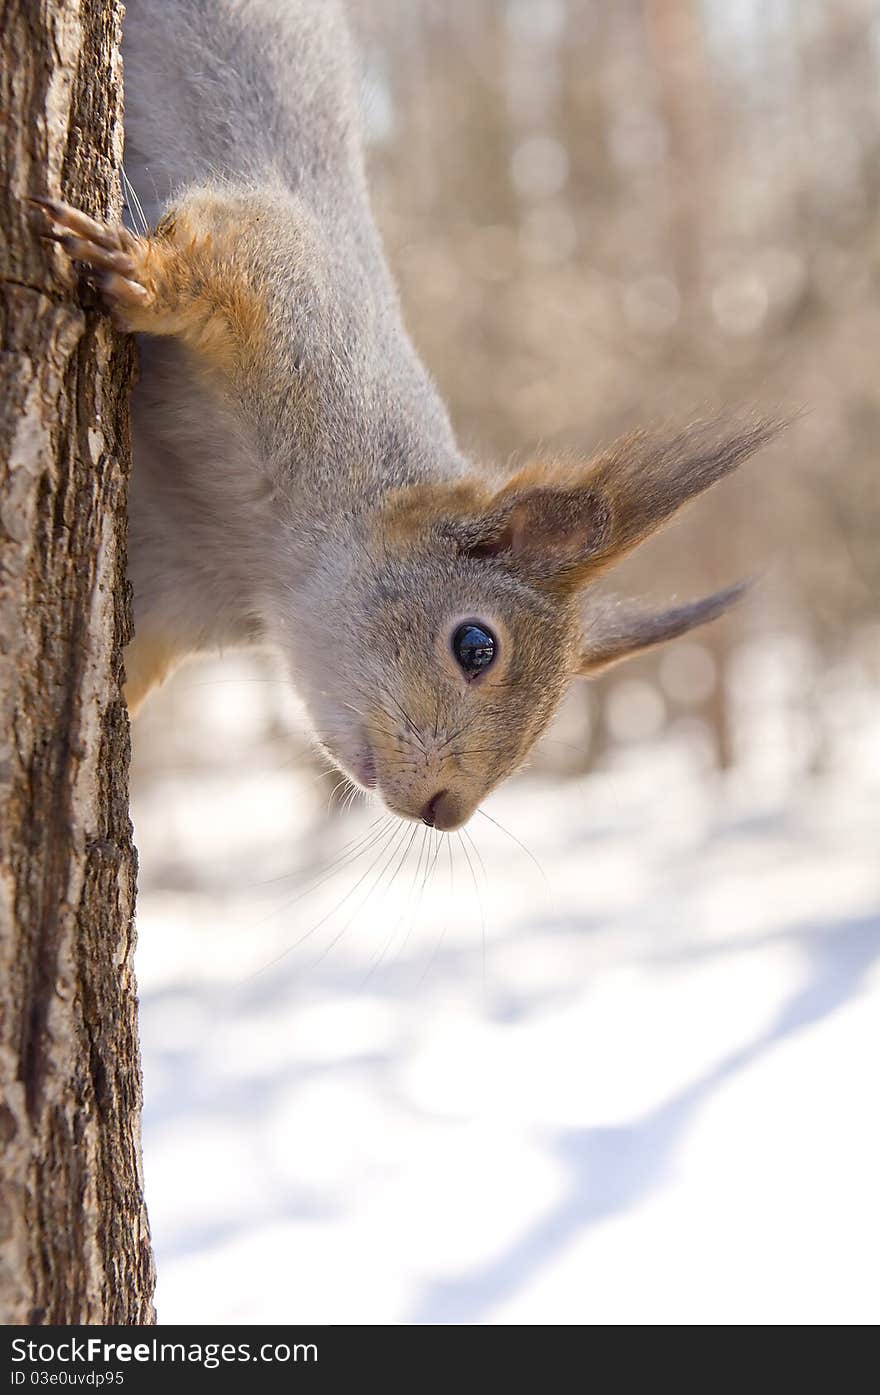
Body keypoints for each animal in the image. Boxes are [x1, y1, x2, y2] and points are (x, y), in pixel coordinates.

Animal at [32, 0, 775, 825]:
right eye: (477, 646)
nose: (446, 810)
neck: (261, 555)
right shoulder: (302, 309)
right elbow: (231, 259)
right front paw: (141, 275)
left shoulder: (168, 597)